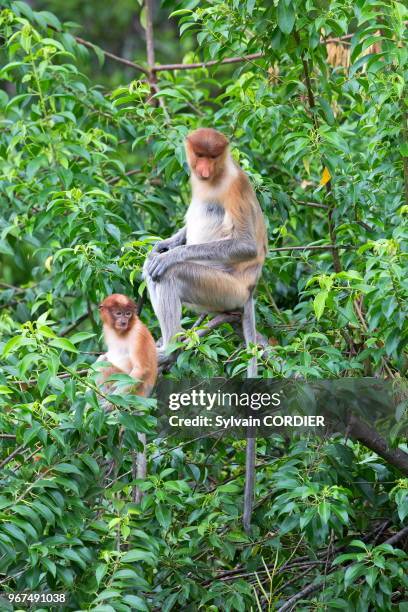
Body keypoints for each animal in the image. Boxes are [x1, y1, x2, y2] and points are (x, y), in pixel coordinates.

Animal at [96, 296, 157, 502]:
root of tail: (143, 399)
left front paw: (107, 406)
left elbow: (141, 370)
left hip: (132, 391)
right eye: (118, 313)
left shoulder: (138, 333)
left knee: (104, 364)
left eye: (128, 313)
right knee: (103, 358)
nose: (123, 321)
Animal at [143, 126, 268, 528]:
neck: (216, 177)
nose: (202, 169)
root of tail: (248, 290)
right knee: (150, 272)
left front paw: (173, 254)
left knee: (170, 275)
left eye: (213, 158)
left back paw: (169, 346)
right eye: (199, 155)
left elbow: (244, 243)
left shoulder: (234, 184)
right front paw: (165, 243)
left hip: (220, 286)